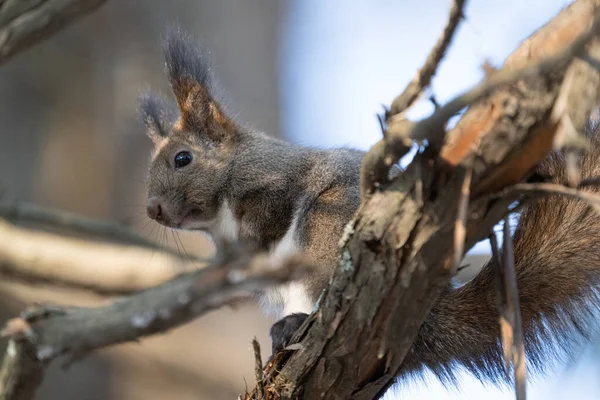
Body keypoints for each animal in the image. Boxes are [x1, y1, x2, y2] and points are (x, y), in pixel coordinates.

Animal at [138, 27, 600, 384]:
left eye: (183, 158)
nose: (152, 210)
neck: (221, 218)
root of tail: (428, 321)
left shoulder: (276, 180)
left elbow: (271, 215)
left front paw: (250, 245)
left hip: (325, 235)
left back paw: (293, 325)